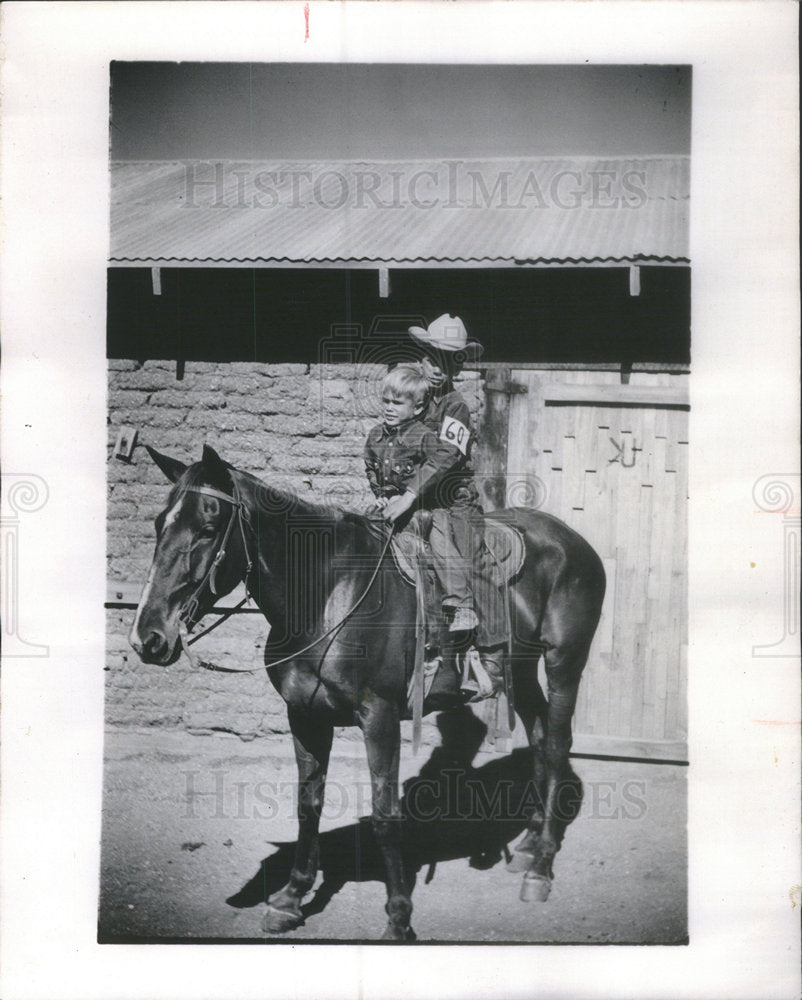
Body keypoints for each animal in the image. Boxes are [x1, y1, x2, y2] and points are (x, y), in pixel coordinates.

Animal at [130, 450, 600, 940]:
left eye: (207, 527)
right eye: (160, 524)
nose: (148, 637)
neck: (328, 595)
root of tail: (569, 539)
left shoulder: (380, 717)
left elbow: (384, 816)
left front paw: (398, 917)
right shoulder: (304, 716)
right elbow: (308, 805)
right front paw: (291, 898)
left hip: (565, 661)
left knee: (558, 742)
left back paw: (541, 867)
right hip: (520, 669)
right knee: (541, 738)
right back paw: (527, 846)